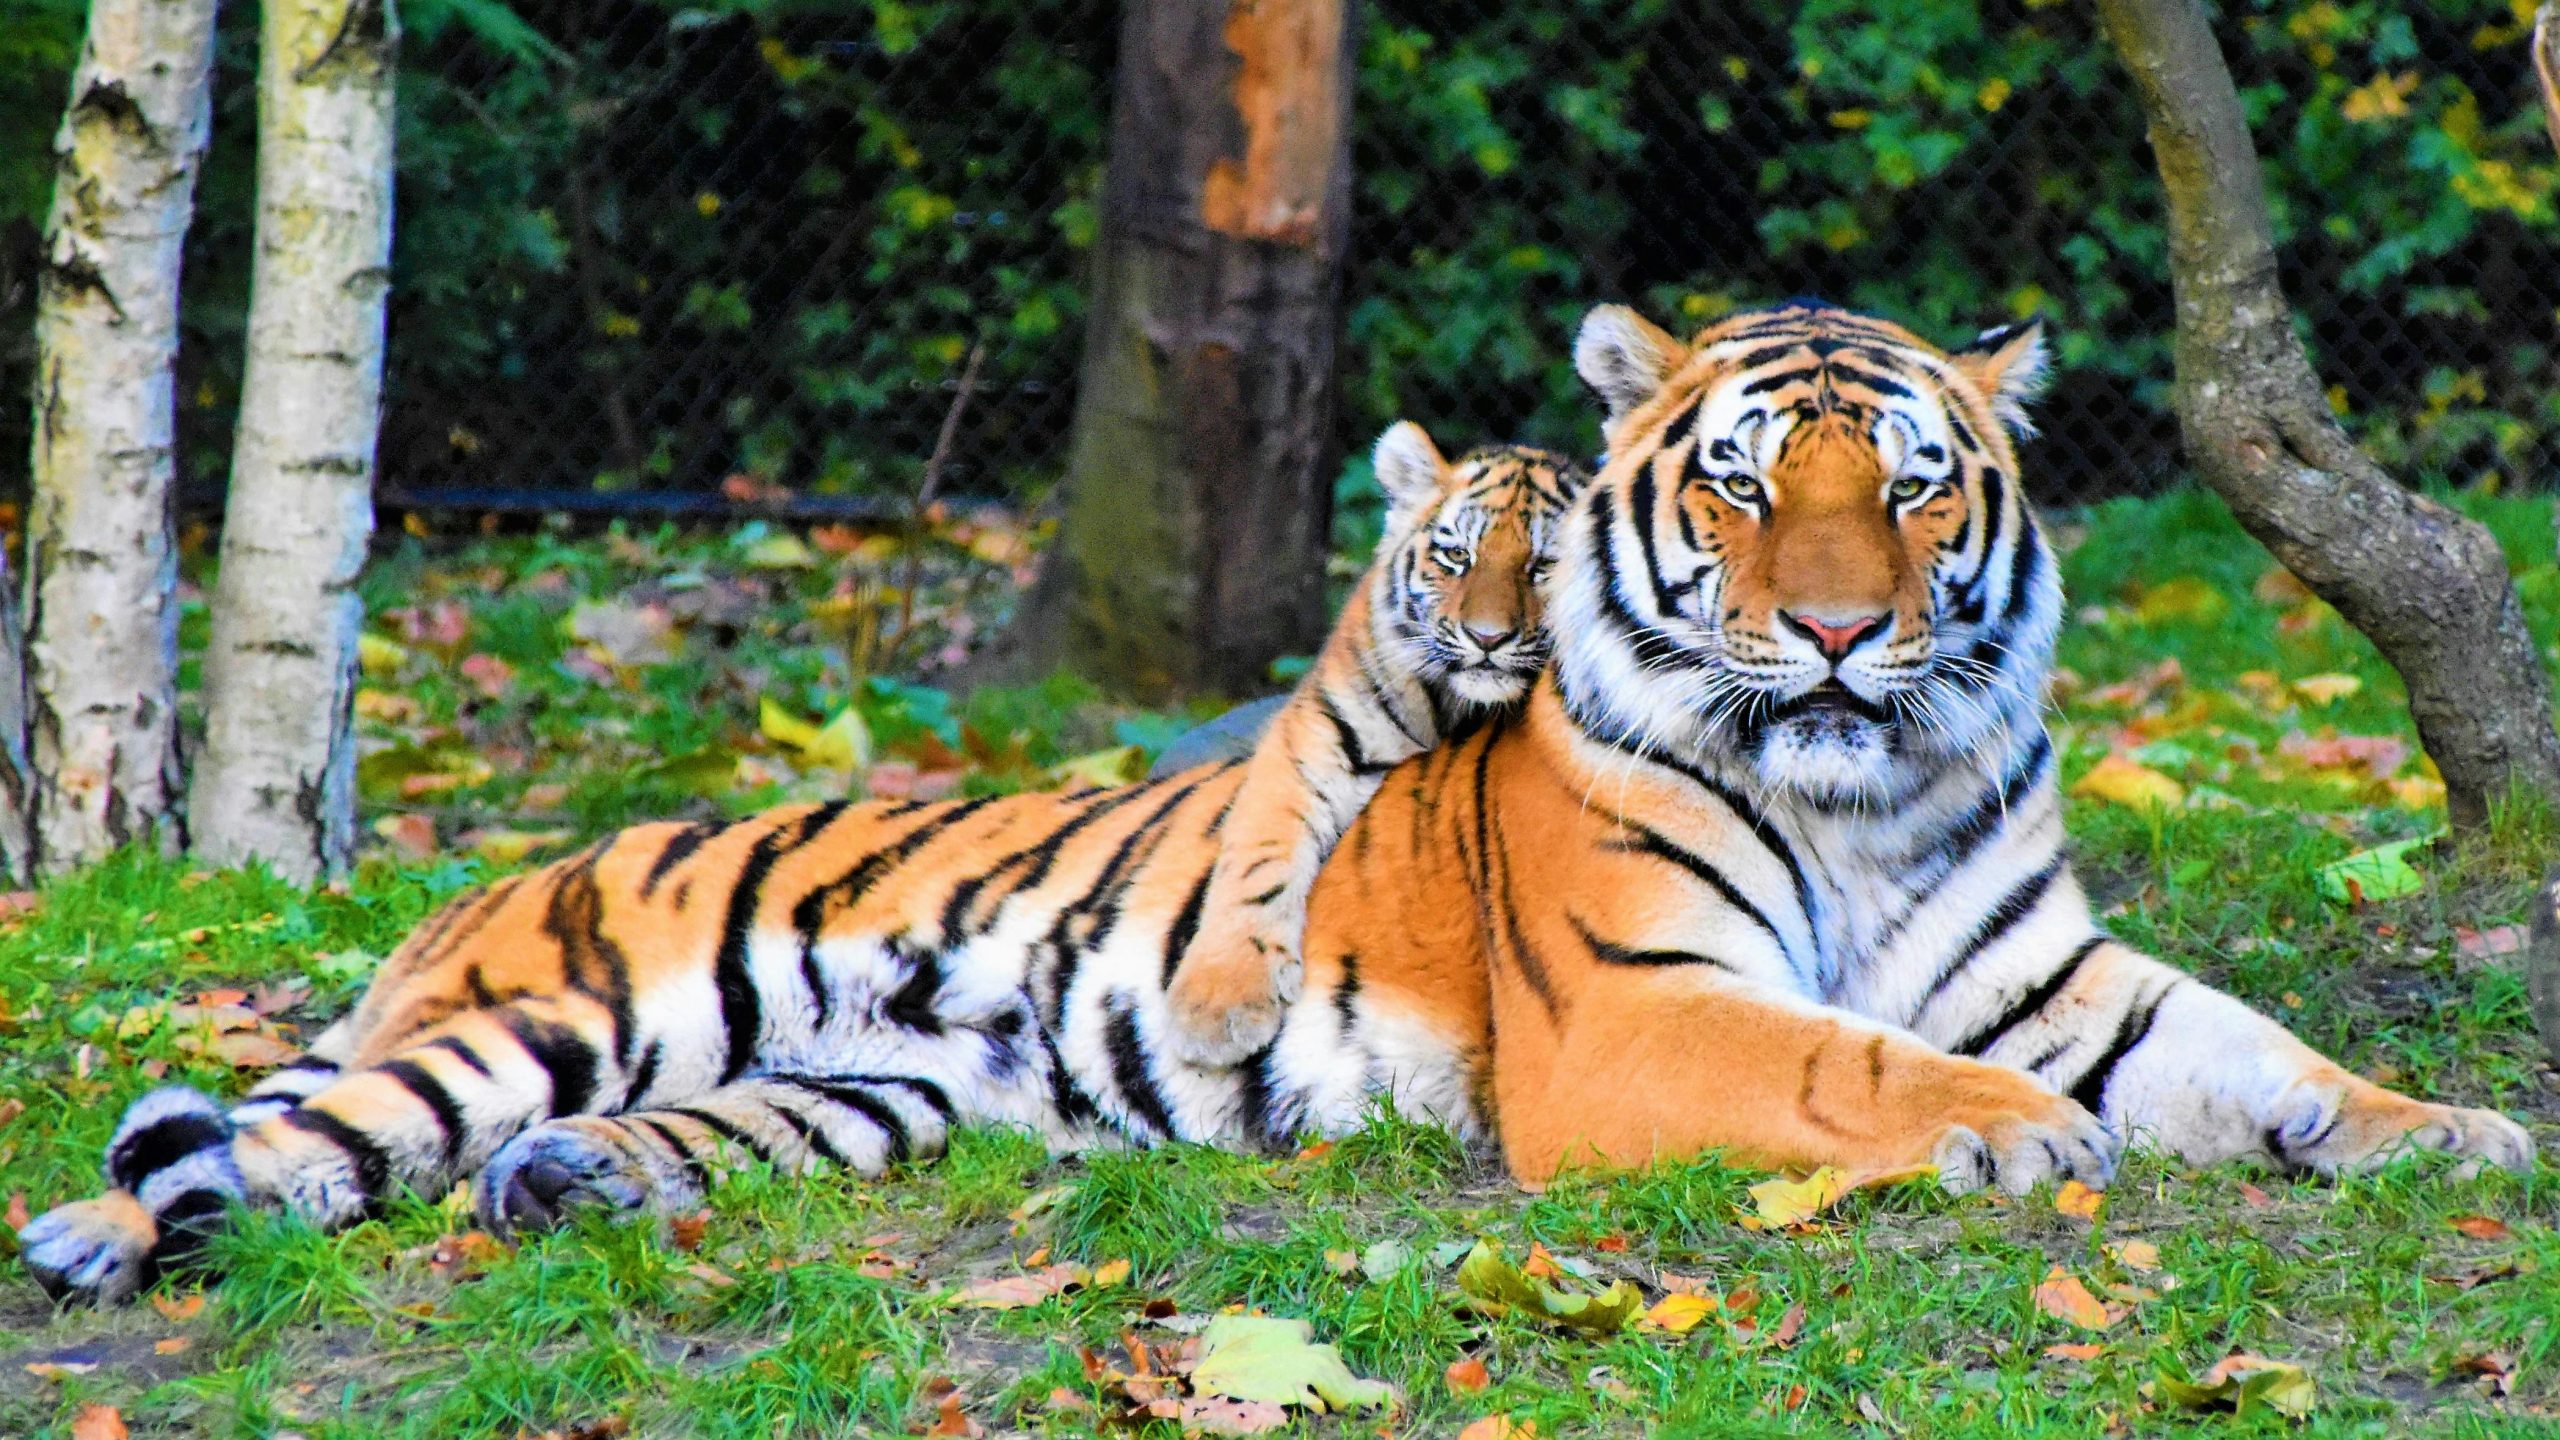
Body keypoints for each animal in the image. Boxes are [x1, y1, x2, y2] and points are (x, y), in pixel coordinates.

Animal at [24, 299, 2539, 1301]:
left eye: (1913, 489)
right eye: (1743, 488)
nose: (1834, 632)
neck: (1868, 789)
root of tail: (496, 888)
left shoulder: (2053, 967)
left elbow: (2261, 1052)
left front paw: (2452, 1133)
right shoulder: (1635, 1012)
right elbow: (1848, 1058)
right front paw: (2010, 1137)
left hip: (875, 1093)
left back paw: (568, 1190)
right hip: (549, 1012)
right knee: (286, 1138)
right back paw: (91, 1242)